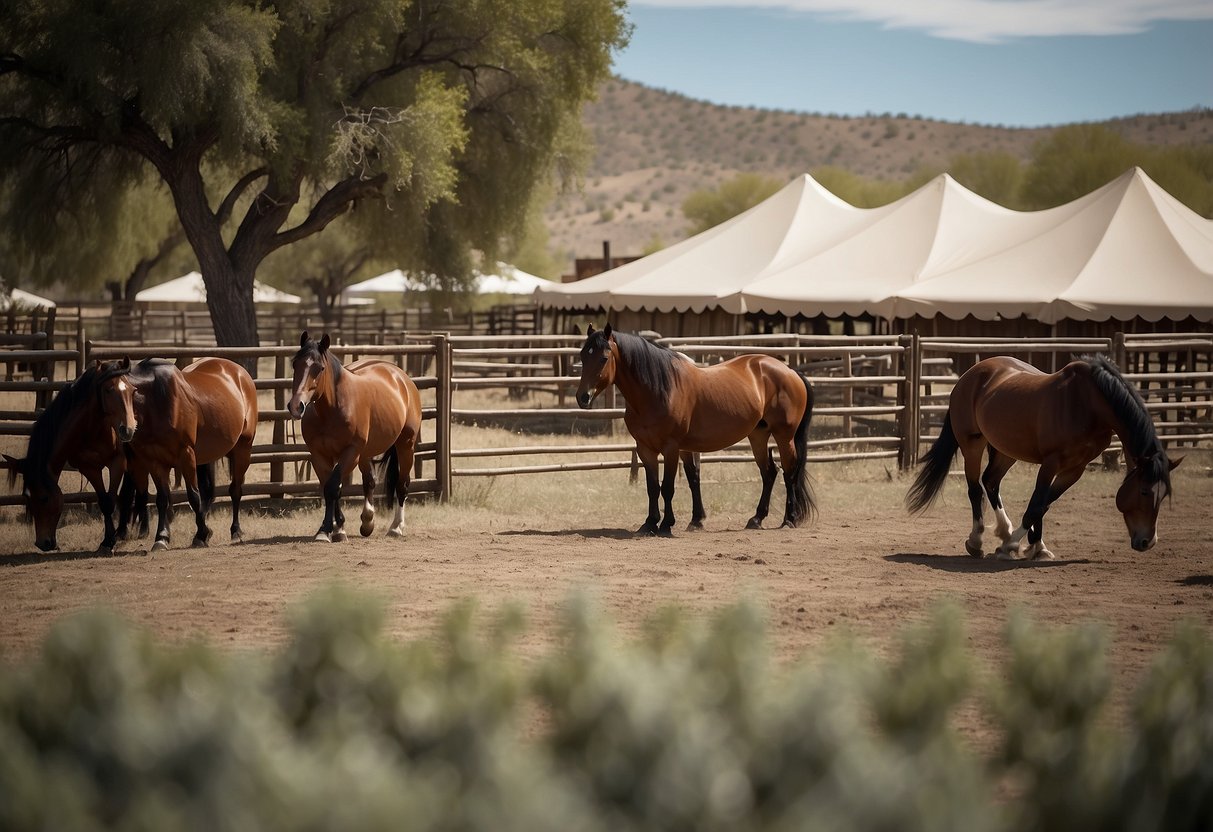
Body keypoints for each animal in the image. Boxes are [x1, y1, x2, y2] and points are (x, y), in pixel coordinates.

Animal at [3, 358, 134, 550]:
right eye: (26, 497)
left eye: (44, 498)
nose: (42, 543)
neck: (93, 428)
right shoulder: (88, 467)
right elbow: (104, 501)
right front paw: (107, 540)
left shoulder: (117, 462)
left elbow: (110, 501)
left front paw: (111, 540)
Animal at [101, 358, 258, 553]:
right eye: (106, 390)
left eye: (131, 391)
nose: (126, 429)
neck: (155, 401)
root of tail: (239, 372)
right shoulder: (154, 461)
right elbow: (162, 499)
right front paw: (161, 538)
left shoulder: (186, 454)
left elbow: (193, 496)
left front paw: (201, 535)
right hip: (204, 458)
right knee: (208, 491)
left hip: (242, 449)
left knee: (235, 490)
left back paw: (235, 531)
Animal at [289, 332, 426, 548]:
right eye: (295, 364)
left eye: (319, 368)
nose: (297, 406)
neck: (332, 409)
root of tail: (400, 376)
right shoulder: (319, 454)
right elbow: (330, 487)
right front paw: (336, 529)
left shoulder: (350, 452)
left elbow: (333, 487)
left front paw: (326, 530)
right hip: (365, 453)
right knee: (369, 481)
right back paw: (367, 521)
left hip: (405, 444)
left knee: (402, 484)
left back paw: (396, 527)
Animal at [574, 322, 815, 538]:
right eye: (583, 356)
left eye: (604, 358)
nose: (582, 397)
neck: (658, 390)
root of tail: (790, 371)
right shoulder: (645, 449)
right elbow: (655, 487)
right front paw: (650, 523)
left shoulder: (671, 448)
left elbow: (667, 487)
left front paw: (666, 525)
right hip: (758, 435)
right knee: (769, 472)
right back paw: (756, 518)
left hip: (784, 436)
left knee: (789, 472)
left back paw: (789, 519)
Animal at [907, 354, 1179, 562]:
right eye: (1144, 491)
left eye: (1165, 493)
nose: (1147, 541)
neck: (1087, 404)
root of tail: (970, 374)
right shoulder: (1051, 462)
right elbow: (1037, 503)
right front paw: (1012, 546)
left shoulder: (1075, 468)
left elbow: (1045, 502)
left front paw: (1036, 547)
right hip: (972, 444)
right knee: (975, 489)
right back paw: (977, 541)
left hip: (1006, 450)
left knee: (991, 482)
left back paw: (1004, 530)